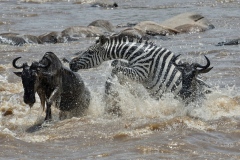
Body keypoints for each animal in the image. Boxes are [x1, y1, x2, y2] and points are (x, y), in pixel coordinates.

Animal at [69, 35, 212, 114]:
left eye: (89, 52)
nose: (71, 63)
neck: (135, 53)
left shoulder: (141, 73)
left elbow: (116, 68)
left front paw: (111, 93)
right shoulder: (132, 66)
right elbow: (116, 64)